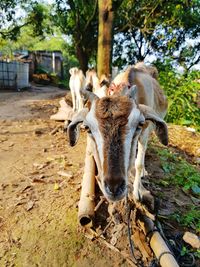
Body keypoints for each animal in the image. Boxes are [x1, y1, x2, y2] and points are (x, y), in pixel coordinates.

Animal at [67, 63, 167, 204]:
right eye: (87, 128)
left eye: (140, 124)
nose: (114, 187)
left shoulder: (144, 131)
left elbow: (138, 164)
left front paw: (137, 193)